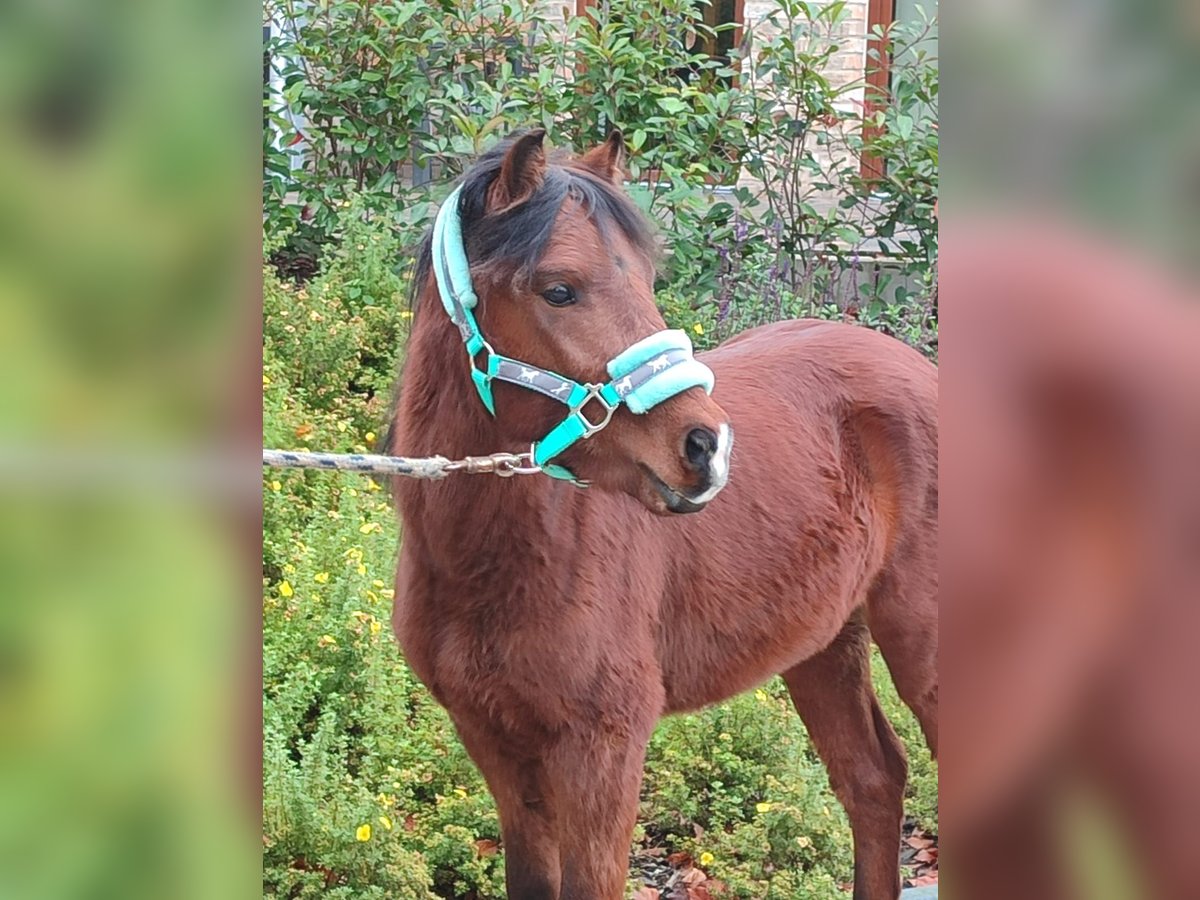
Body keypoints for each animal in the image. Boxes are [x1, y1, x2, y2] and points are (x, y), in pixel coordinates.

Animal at [388, 128, 940, 900]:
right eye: (559, 289)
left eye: (647, 281)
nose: (708, 447)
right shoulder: (495, 746)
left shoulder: (603, 751)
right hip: (823, 644)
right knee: (873, 781)